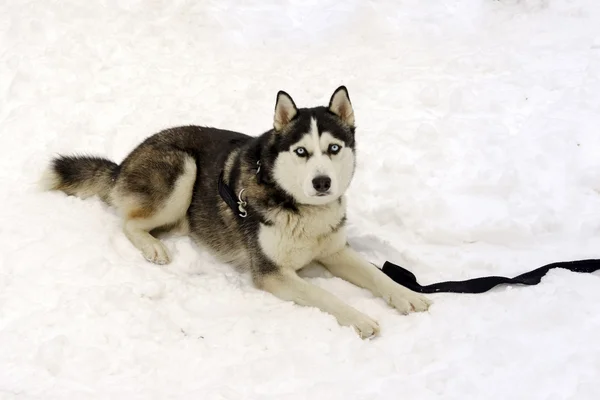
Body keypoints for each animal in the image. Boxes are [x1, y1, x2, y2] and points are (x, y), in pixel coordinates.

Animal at [44, 86, 432, 338]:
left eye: (333, 148)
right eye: (302, 151)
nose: (322, 182)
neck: (300, 208)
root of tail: (125, 162)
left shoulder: (335, 251)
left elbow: (379, 276)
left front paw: (409, 296)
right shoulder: (271, 272)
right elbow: (326, 295)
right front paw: (360, 318)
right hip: (182, 169)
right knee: (128, 222)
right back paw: (154, 246)